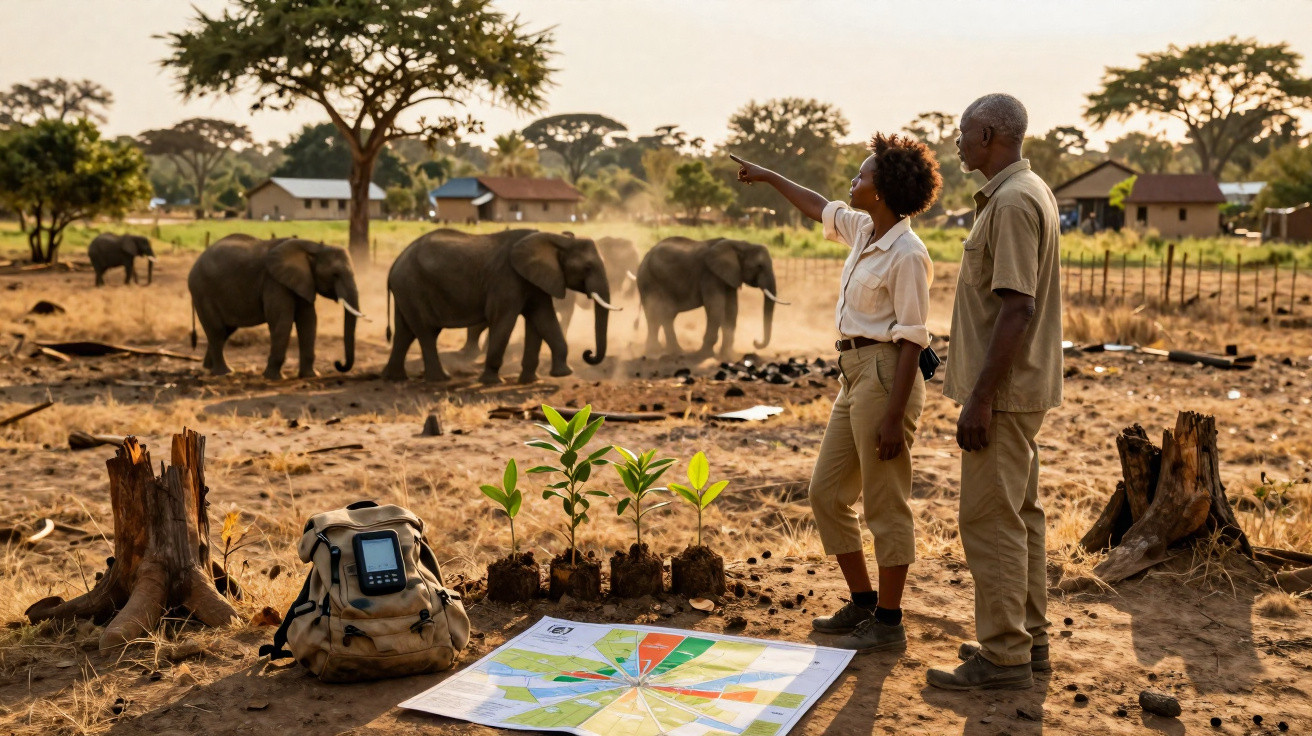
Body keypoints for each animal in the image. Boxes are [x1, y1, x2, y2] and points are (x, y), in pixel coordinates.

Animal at [188, 234, 362, 379]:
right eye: (335, 275)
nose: (338, 363)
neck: (313, 247)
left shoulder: (303, 281)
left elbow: (308, 321)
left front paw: (311, 376)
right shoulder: (274, 282)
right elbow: (282, 321)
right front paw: (274, 378)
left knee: (226, 330)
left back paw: (208, 368)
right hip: (202, 292)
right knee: (217, 331)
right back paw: (225, 373)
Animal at [383, 228, 617, 385]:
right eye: (587, 267)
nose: (588, 353)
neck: (556, 239)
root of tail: (394, 265)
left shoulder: (535, 281)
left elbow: (542, 319)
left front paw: (539, 379)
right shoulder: (506, 280)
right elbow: (503, 320)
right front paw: (492, 382)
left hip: (406, 290)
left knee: (404, 332)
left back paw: (395, 378)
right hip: (412, 286)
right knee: (425, 332)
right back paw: (440, 379)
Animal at [637, 237, 787, 359]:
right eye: (759, 266)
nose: (755, 341)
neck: (740, 244)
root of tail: (646, 256)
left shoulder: (730, 276)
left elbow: (732, 309)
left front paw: (727, 357)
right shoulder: (710, 274)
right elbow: (716, 307)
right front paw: (704, 355)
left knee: (662, 317)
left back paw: (669, 352)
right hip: (649, 281)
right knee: (656, 314)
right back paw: (658, 353)